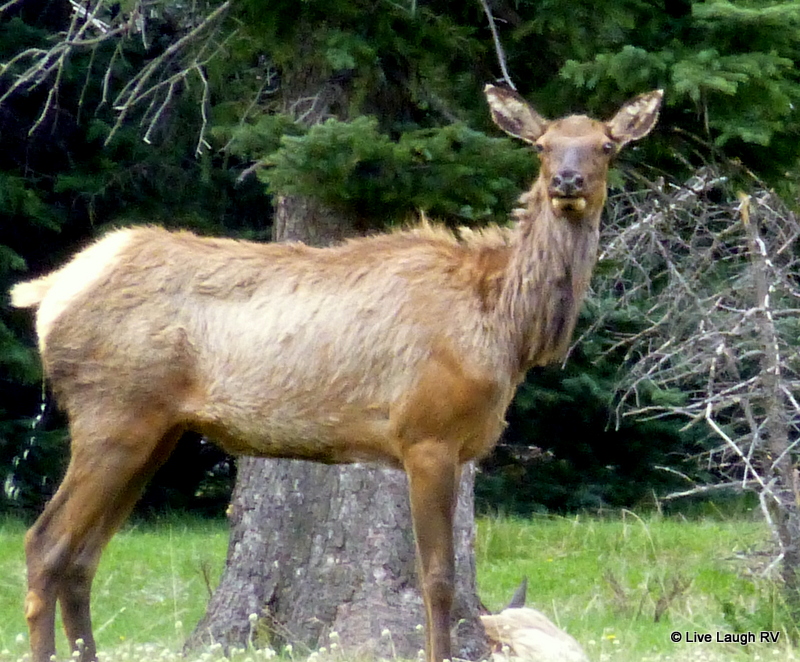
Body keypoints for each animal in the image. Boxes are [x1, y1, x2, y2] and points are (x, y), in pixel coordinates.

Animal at [10, 84, 662, 662]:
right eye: (543, 146)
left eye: (606, 145)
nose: (567, 183)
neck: (504, 329)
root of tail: (51, 291)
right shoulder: (426, 434)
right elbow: (438, 580)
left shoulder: (458, 447)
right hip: (113, 413)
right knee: (45, 545)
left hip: (157, 431)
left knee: (83, 558)